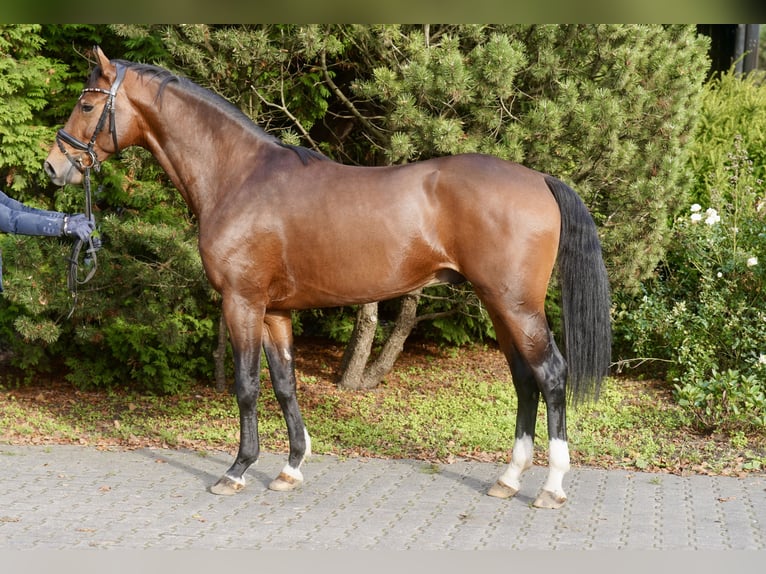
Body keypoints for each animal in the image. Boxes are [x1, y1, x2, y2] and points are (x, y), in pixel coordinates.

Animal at [46, 47, 612, 510]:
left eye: (88, 105)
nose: (55, 167)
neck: (239, 176)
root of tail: (539, 179)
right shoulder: (274, 310)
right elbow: (284, 383)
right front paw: (291, 467)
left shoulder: (242, 302)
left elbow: (246, 386)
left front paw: (237, 470)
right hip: (499, 305)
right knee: (524, 379)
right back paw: (508, 479)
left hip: (516, 305)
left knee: (551, 375)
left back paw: (552, 486)